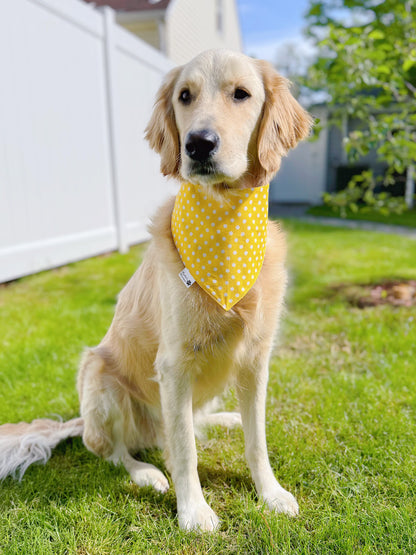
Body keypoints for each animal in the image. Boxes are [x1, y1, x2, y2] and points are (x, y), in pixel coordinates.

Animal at [0, 50, 312, 532]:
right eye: (185, 96)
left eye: (241, 94)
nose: (198, 144)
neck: (226, 221)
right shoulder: (174, 366)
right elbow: (183, 449)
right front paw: (194, 511)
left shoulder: (256, 359)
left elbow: (256, 440)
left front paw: (271, 493)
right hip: (101, 379)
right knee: (114, 452)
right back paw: (146, 473)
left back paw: (224, 418)